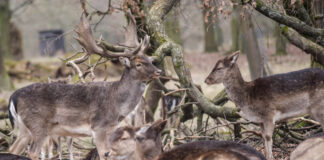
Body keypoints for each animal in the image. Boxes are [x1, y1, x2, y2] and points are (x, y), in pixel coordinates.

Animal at [6, 11, 161, 160]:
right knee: (32, 152)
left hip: (24, 129)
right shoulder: (98, 126)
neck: (116, 104)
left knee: (12, 149)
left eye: (150, 60)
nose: (158, 71)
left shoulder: (109, 129)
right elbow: (103, 155)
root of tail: (13, 96)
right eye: (139, 64)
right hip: (38, 125)